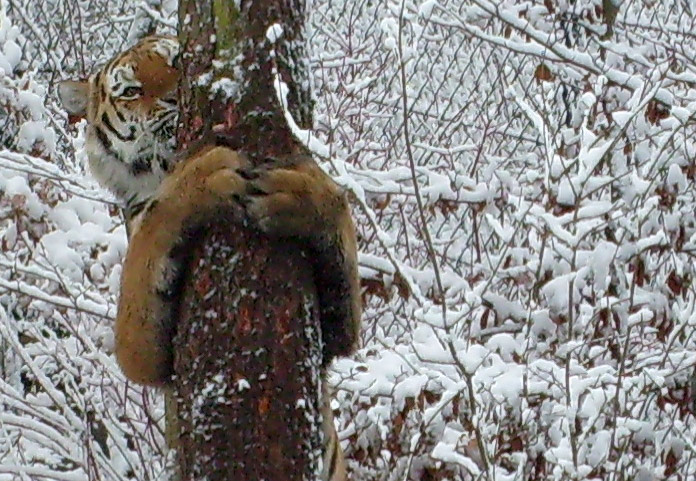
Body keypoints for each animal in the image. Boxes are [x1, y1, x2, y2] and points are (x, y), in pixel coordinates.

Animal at [57, 34, 362, 480]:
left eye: (178, 61)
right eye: (131, 91)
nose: (173, 99)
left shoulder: (338, 334)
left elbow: (340, 219)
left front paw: (298, 191)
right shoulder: (138, 354)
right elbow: (153, 229)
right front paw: (203, 176)